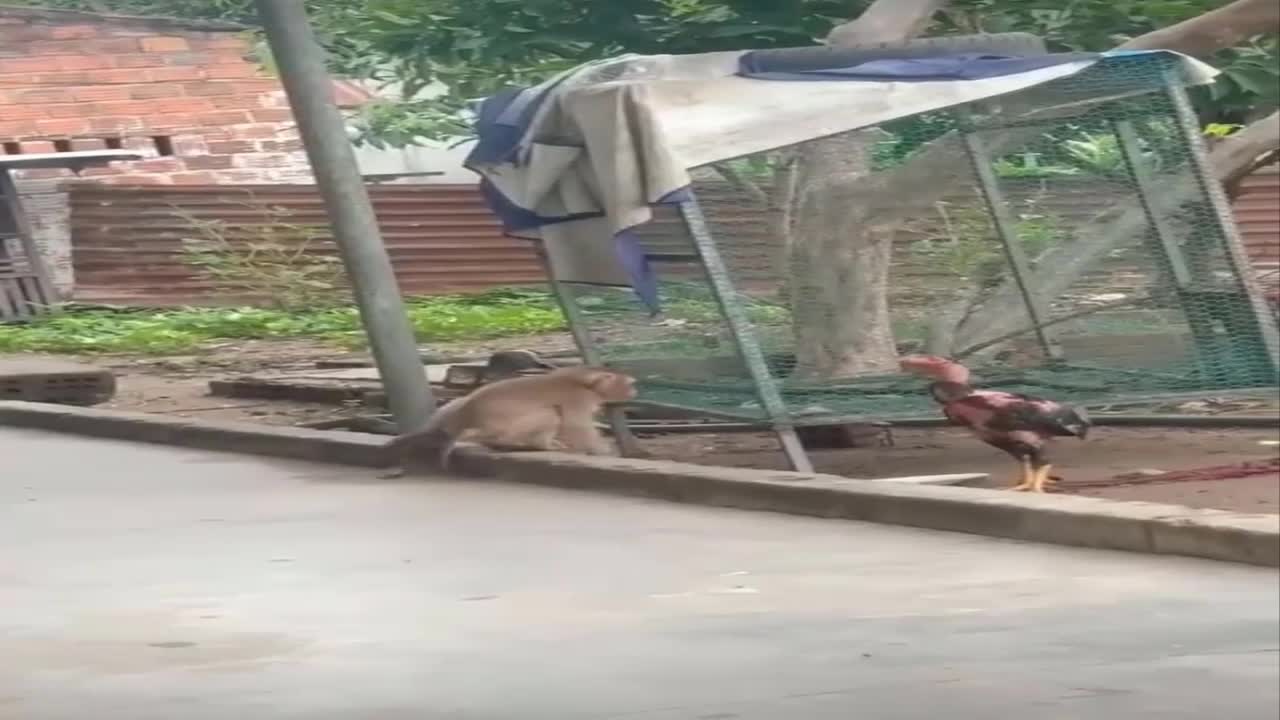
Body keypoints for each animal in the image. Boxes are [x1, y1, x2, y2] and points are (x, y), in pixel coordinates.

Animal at [378, 363, 640, 476]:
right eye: (628, 383)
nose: (635, 390)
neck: (583, 380)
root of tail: (466, 419)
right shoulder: (578, 399)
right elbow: (576, 425)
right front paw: (605, 452)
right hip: (506, 430)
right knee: (549, 413)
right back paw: (539, 445)